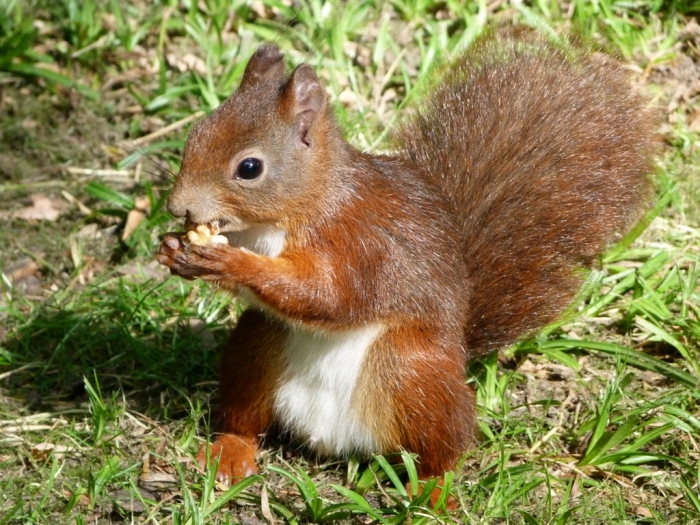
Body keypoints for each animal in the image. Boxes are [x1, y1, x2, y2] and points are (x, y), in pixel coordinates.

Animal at [156, 35, 657, 498]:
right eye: (195, 135)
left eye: (250, 168)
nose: (178, 207)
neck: (286, 216)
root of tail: (331, 439)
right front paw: (173, 250)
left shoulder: (359, 245)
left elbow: (329, 296)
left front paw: (229, 261)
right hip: (258, 345)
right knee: (247, 416)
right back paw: (230, 451)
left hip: (411, 369)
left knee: (444, 451)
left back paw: (433, 491)